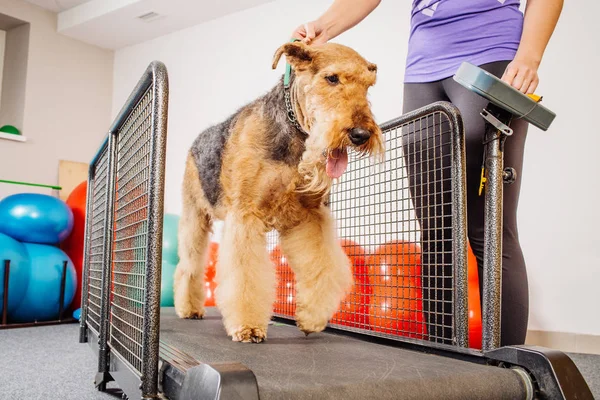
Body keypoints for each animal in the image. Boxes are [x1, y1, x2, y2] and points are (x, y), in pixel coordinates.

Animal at [172, 40, 384, 344]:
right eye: (332, 78)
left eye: (368, 85)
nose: (360, 134)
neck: (293, 131)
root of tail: (198, 140)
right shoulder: (245, 214)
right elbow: (245, 276)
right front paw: (247, 327)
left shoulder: (309, 217)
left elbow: (322, 266)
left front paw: (312, 318)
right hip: (195, 218)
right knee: (189, 265)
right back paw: (188, 309)